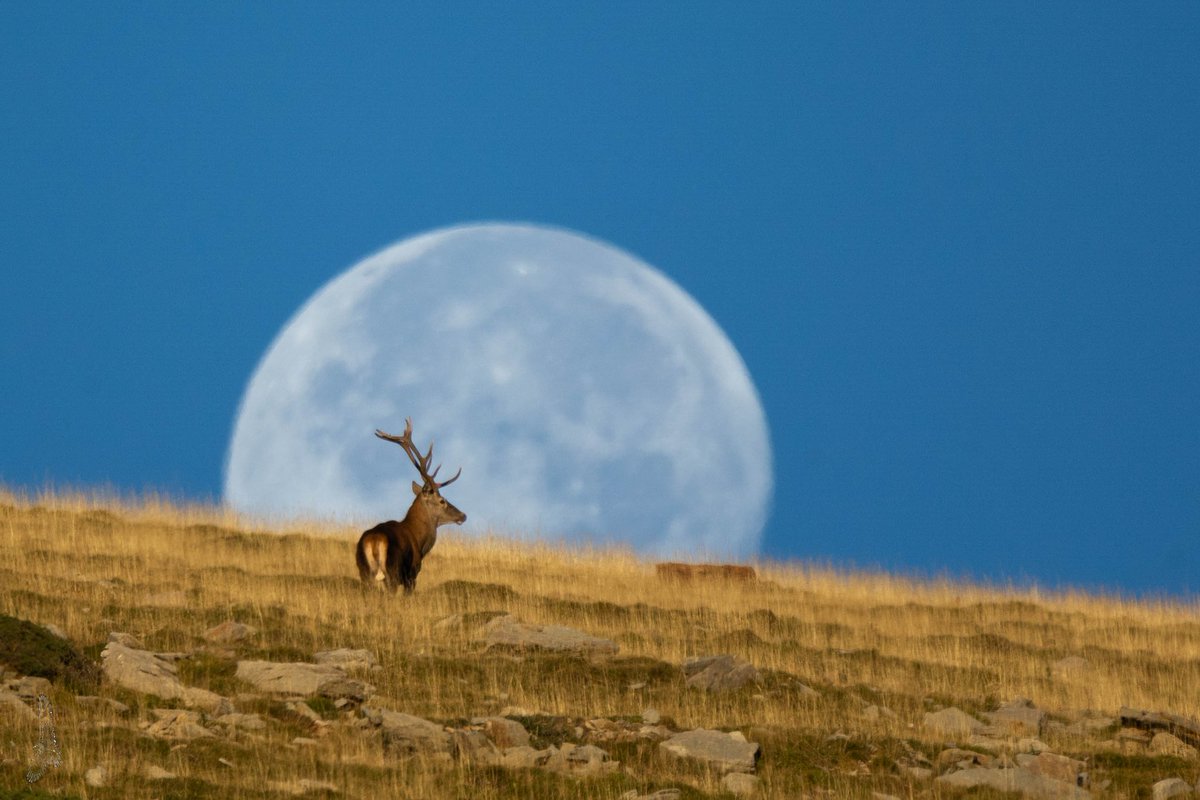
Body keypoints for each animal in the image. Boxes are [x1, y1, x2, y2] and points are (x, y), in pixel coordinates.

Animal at [355, 418, 466, 594]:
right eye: (442, 500)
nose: (463, 515)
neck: (420, 540)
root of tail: (374, 540)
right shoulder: (412, 574)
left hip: (363, 572)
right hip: (392, 572)